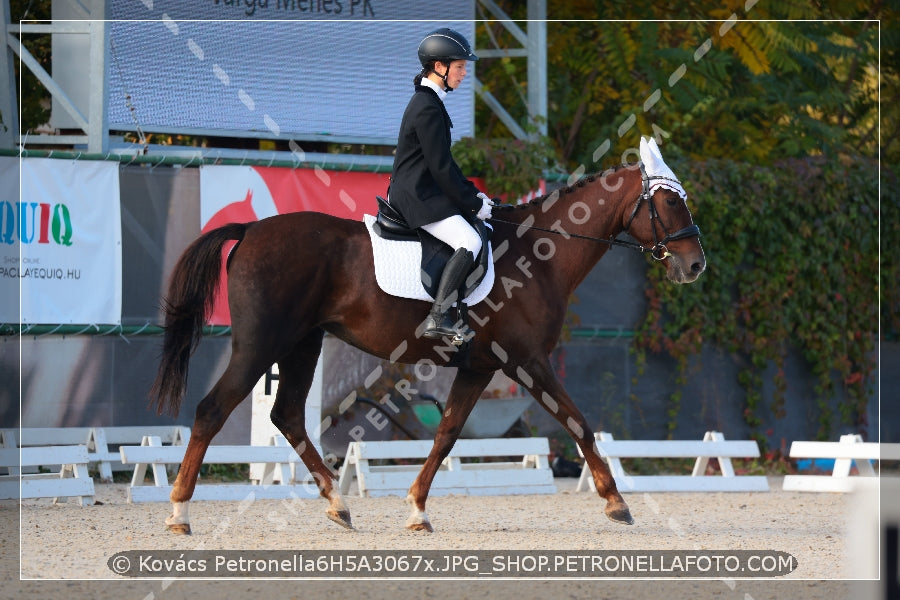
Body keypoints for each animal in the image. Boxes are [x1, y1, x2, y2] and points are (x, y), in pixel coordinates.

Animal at [151, 137, 708, 536]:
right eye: (667, 202)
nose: (695, 265)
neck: (540, 254)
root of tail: (251, 229)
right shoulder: (527, 361)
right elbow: (579, 423)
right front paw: (616, 501)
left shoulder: (479, 367)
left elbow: (446, 435)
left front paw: (417, 510)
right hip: (260, 345)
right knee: (212, 410)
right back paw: (179, 513)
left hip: (302, 344)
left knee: (287, 415)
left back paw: (338, 505)